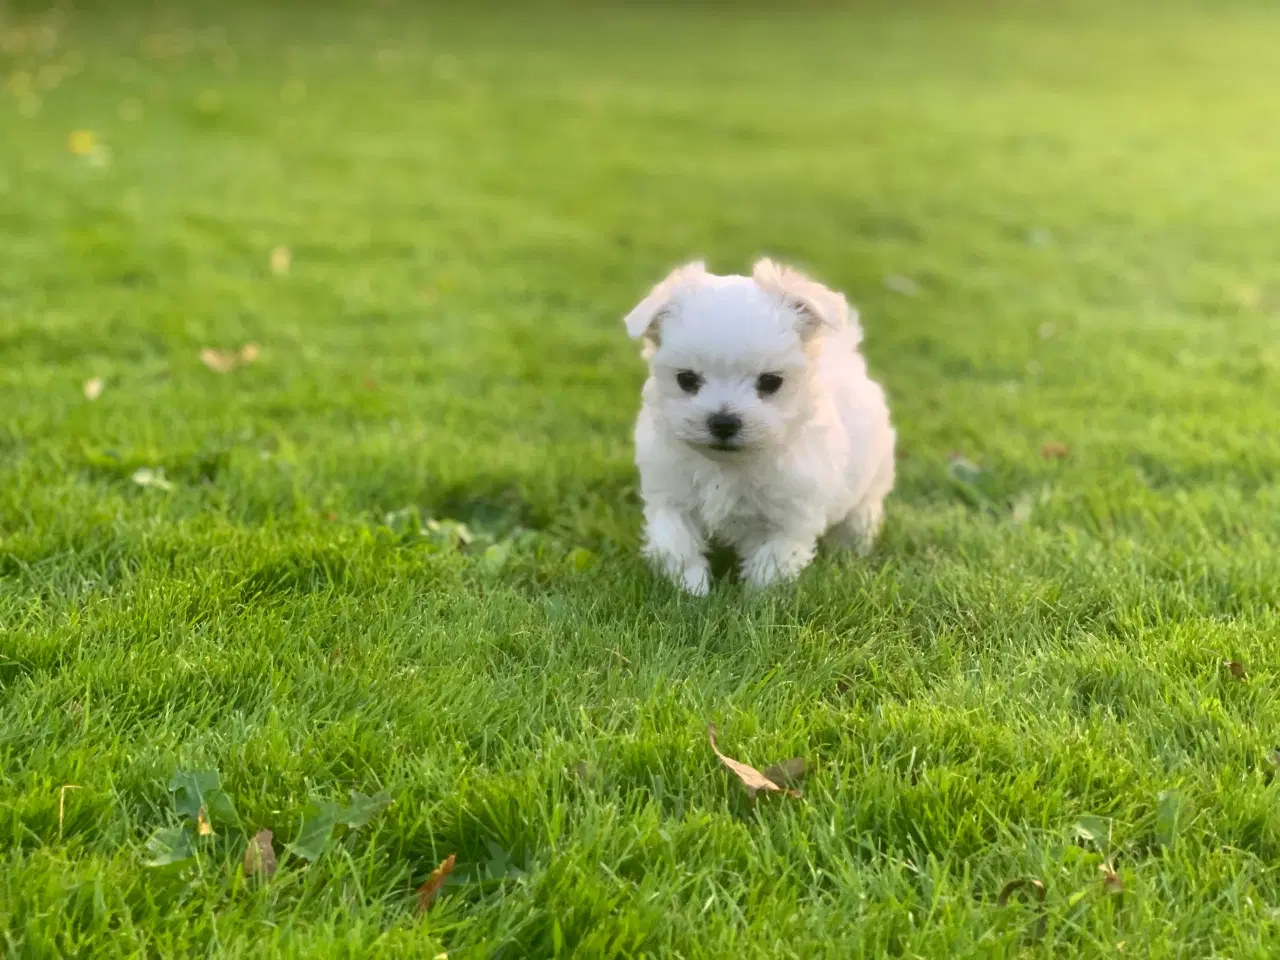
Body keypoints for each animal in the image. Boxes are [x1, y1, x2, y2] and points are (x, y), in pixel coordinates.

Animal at [624, 261, 896, 593]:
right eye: (686, 379)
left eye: (770, 382)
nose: (724, 421)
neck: (728, 465)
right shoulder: (671, 496)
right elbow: (677, 544)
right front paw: (691, 592)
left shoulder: (789, 516)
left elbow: (771, 563)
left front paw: (757, 601)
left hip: (869, 488)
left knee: (858, 521)